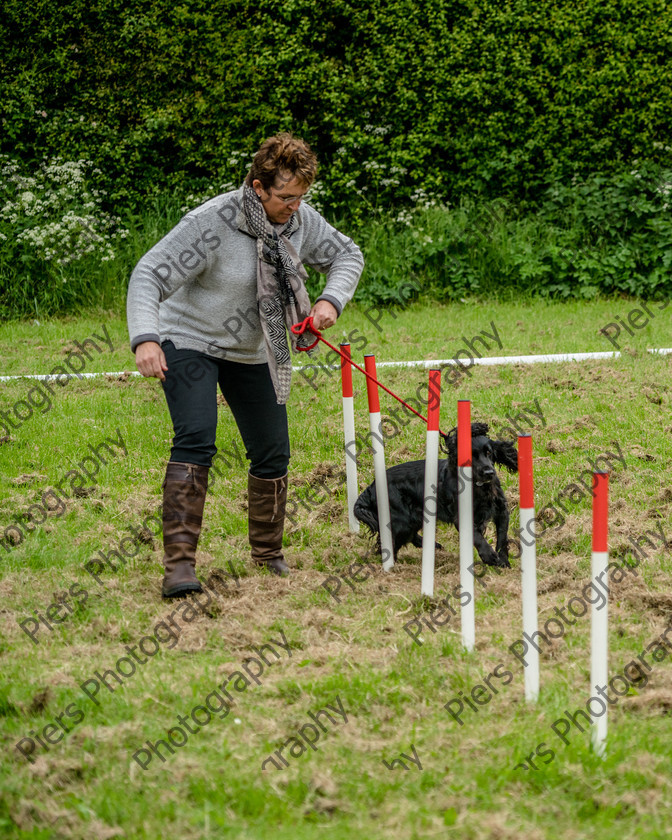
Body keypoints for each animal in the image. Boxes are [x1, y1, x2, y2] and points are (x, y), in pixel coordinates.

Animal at [354, 424, 516, 568]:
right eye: (471, 456)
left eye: (489, 453)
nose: (489, 473)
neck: (480, 487)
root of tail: (372, 485)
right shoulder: (461, 516)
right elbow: (477, 537)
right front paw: (489, 556)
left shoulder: (501, 510)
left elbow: (502, 537)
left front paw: (503, 561)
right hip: (402, 520)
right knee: (389, 541)